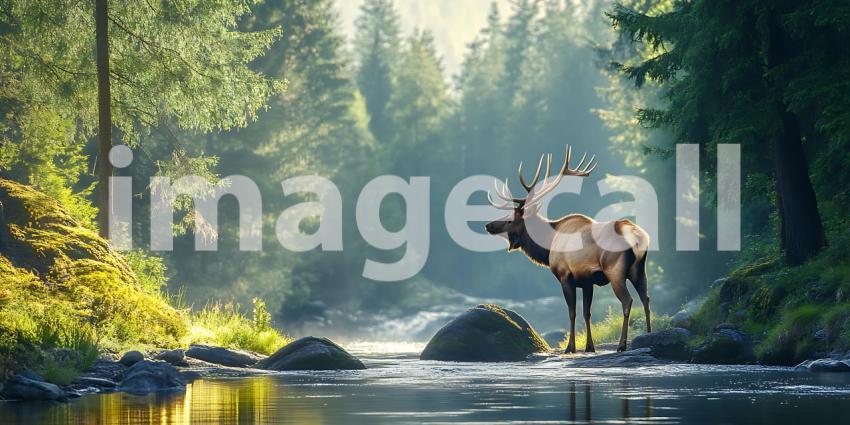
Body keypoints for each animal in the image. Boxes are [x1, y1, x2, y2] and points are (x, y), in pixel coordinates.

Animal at [484, 145, 651, 353]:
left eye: (509, 219)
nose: (488, 225)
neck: (548, 245)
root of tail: (637, 235)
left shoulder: (565, 275)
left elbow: (572, 312)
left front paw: (570, 347)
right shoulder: (587, 281)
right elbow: (587, 313)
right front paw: (589, 347)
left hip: (615, 270)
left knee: (628, 301)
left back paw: (622, 344)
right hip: (639, 269)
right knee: (646, 299)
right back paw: (649, 335)